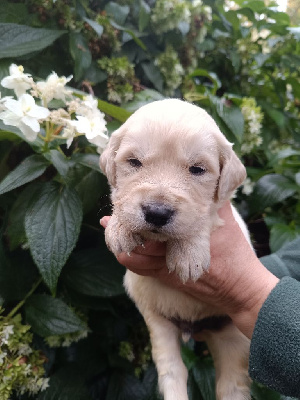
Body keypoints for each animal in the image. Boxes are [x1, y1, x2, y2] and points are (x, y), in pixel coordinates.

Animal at [101, 99, 253, 400]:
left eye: (197, 170)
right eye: (134, 162)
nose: (157, 213)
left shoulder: (223, 213)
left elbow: (204, 216)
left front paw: (188, 255)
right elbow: (120, 200)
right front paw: (119, 226)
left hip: (234, 338)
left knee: (231, 384)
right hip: (158, 322)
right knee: (173, 371)